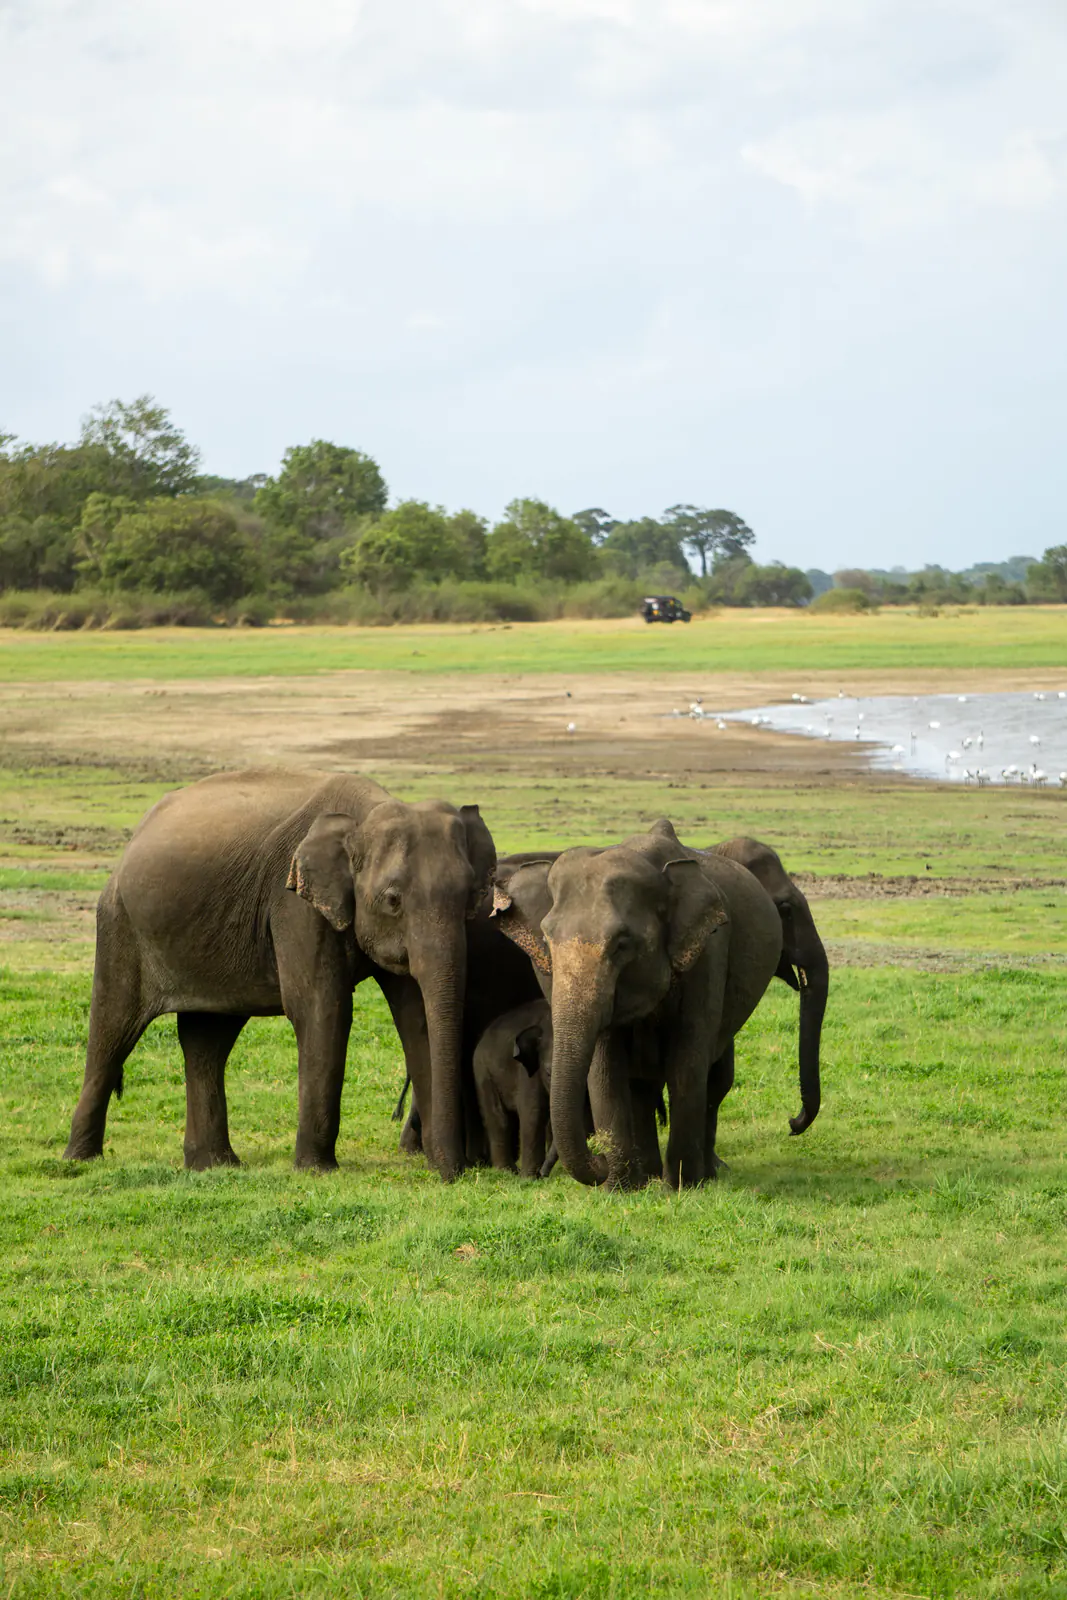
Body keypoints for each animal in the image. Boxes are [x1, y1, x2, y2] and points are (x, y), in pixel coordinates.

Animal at [62, 768, 496, 1180]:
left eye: (471, 895)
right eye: (393, 900)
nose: (452, 1173)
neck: (365, 813)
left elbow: (415, 1015)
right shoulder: (294, 904)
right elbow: (322, 1009)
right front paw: (316, 1170)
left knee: (207, 1040)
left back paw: (213, 1165)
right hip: (120, 923)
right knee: (113, 1031)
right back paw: (80, 1160)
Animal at [472, 998, 553, 1177]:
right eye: (548, 1072)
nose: (543, 1174)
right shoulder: (526, 1072)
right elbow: (533, 1112)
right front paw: (529, 1178)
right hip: (483, 1071)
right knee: (498, 1117)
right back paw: (506, 1171)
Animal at [491, 819, 783, 1189]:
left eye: (622, 944)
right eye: (547, 940)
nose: (600, 1160)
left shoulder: (709, 953)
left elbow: (687, 1063)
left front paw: (680, 1187)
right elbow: (605, 1069)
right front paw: (619, 1189)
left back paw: (699, 1176)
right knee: (642, 1086)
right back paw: (649, 1175)